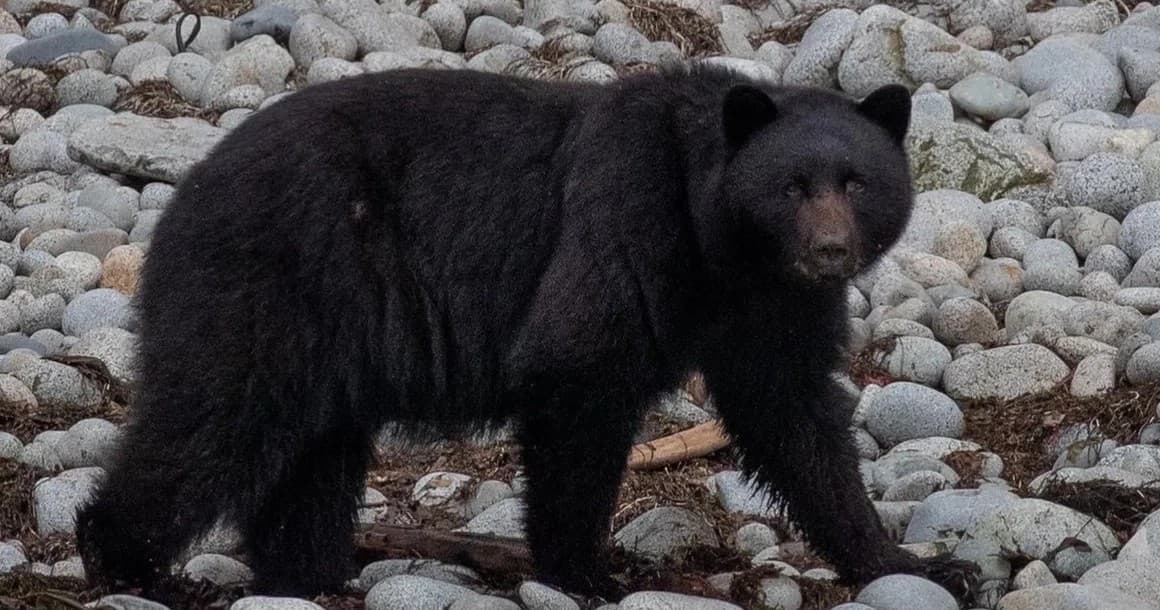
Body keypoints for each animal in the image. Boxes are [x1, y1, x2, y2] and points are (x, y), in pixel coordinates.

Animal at [75, 62, 974, 602]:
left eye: (856, 182)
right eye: (792, 186)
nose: (829, 252)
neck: (720, 245)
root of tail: (181, 196)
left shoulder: (773, 308)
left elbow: (798, 420)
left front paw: (910, 563)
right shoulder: (627, 221)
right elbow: (578, 372)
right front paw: (590, 574)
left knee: (310, 457)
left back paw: (310, 574)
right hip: (272, 285)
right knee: (211, 422)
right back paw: (132, 565)